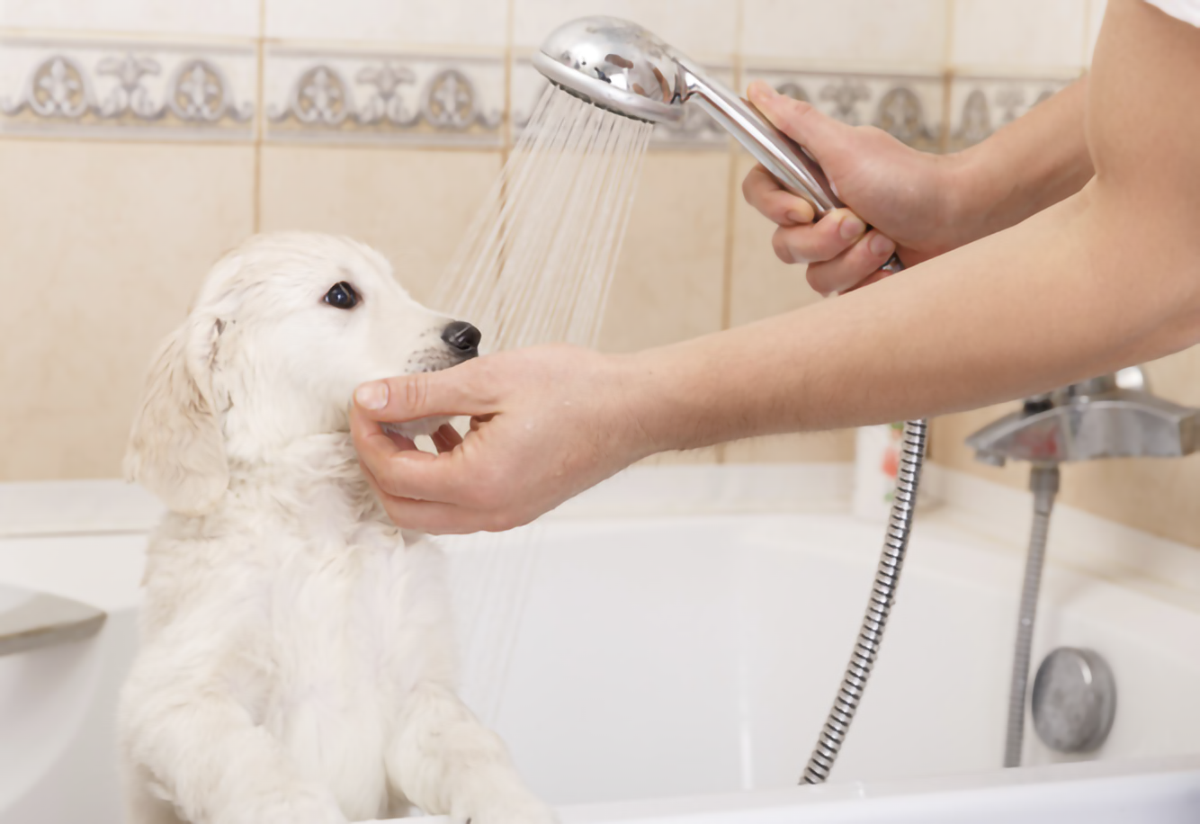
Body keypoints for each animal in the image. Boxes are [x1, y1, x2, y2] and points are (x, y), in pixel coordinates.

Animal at [119, 233, 549, 824]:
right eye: (342, 294)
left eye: (396, 283)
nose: (470, 336)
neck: (323, 526)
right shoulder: (179, 697)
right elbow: (266, 776)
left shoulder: (419, 692)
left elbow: (475, 753)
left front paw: (516, 804)